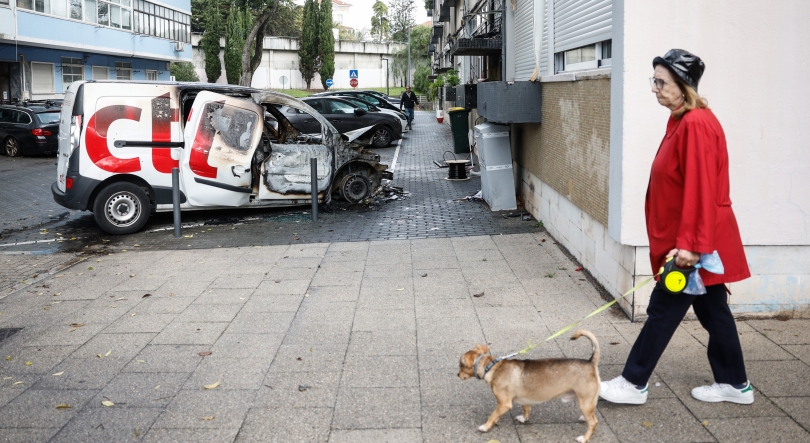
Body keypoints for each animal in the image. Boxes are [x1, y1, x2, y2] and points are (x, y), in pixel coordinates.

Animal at [454, 330, 600, 443]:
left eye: (461, 366)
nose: (457, 374)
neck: (491, 367)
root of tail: (590, 362)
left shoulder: (504, 404)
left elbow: (493, 415)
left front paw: (485, 427)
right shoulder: (525, 399)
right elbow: (526, 409)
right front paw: (524, 419)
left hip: (585, 402)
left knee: (594, 422)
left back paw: (584, 438)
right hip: (587, 402)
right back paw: (583, 418)